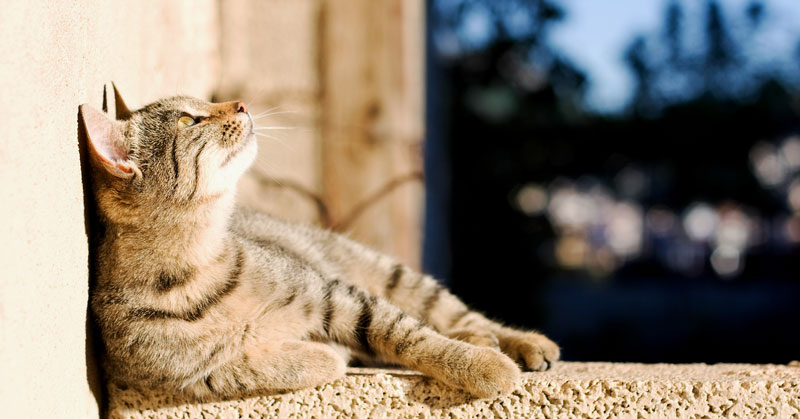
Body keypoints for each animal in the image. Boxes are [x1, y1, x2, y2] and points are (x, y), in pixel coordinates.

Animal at [79, 86, 556, 404]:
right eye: (186, 120)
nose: (241, 102)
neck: (195, 268)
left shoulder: (336, 295)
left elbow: (412, 337)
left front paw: (480, 365)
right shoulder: (194, 375)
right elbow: (264, 366)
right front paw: (323, 354)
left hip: (391, 275)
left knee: (454, 315)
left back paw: (512, 343)